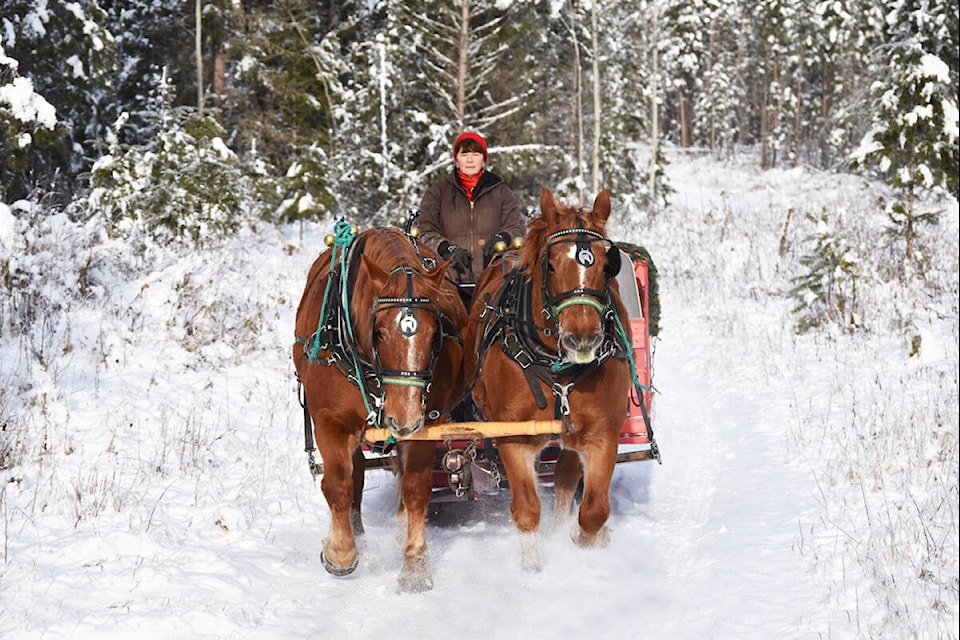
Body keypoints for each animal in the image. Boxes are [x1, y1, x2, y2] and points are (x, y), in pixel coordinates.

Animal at [296, 224, 468, 592]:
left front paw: (415, 566)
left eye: (434, 334)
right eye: (380, 332)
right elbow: (339, 484)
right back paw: (357, 534)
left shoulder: (426, 424)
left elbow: (416, 488)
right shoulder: (330, 421)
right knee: (356, 473)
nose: (403, 418)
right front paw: (340, 554)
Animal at [464, 186, 632, 568]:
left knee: (566, 477)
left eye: (607, 265)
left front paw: (584, 537)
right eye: (551, 264)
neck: (559, 368)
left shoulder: (601, 433)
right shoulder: (513, 436)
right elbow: (526, 508)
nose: (582, 338)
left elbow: (595, 509)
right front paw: (532, 567)